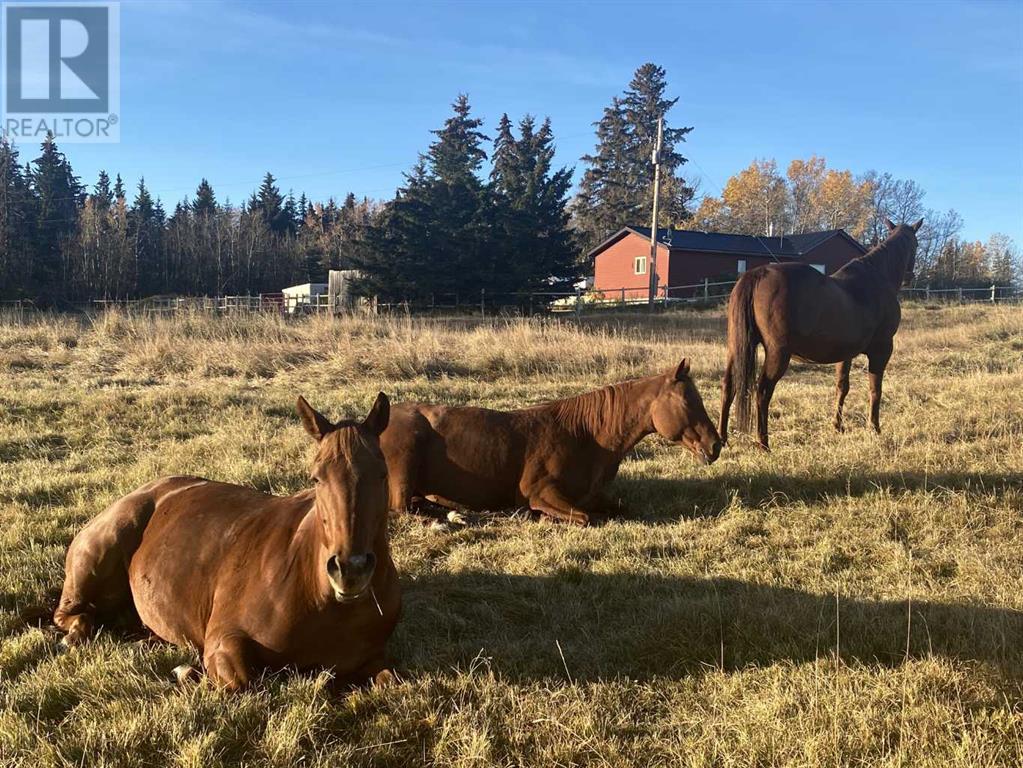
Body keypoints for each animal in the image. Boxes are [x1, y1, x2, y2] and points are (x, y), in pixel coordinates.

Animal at [52, 396, 398, 691]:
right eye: (316, 478)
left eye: (382, 474)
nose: (350, 570)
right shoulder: (225, 638)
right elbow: (243, 681)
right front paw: (186, 671)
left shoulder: (374, 660)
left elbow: (390, 681)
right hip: (97, 556)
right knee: (73, 613)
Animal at [376, 357, 720, 527]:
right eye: (687, 401)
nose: (715, 445)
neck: (585, 438)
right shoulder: (541, 493)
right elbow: (583, 519)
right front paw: (538, 517)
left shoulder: (593, 496)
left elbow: (620, 508)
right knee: (402, 510)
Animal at [716, 217, 924, 449]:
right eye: (916, 244)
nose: (909, 277)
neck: (877, 280)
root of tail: (757, 274)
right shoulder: (882, 349)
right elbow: (875, 389)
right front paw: (874, 428)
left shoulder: (846, 354)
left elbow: (842, 387)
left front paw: (838, 426)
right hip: (778, 354)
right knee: (762, 392)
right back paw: (763, 443)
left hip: (738, 347)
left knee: (728, 387)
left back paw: (722, 439)